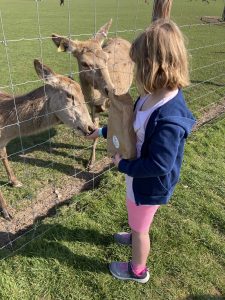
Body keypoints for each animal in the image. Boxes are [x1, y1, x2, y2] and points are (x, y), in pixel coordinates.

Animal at [0, 58, 95, 219]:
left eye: (83, 94)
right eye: (69, 95)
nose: (91, 128)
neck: (6, 130)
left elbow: (4, 155)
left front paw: (15, 182)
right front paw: (8, 213)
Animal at [51, 0, 173, 169]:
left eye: (106, 58)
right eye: (84, 63)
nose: (110, 89)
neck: (96, 98)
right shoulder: (92, 108)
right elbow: (95, 130)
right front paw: (90, 162)